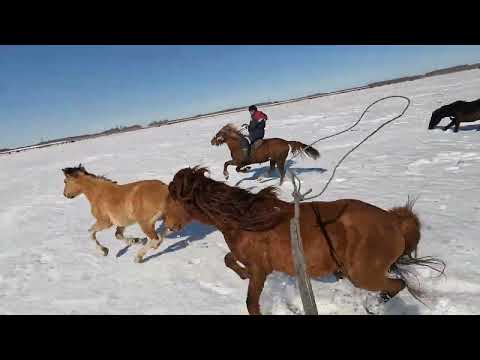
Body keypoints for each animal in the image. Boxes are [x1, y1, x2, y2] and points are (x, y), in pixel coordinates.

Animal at [165, 167, 446, 316]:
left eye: (171, 197)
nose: (169, 227)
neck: (245, 217)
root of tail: (394, 220)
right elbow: (228, 258)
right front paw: (241, 273)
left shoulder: (261, 270)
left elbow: (251, 303)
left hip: (363, 274)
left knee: (397, 285)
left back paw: (375, 306)